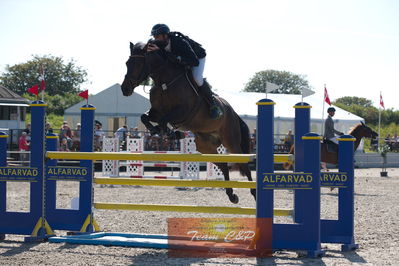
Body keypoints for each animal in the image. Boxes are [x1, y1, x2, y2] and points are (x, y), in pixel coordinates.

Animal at [120, 42, 255, 204]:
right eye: (127, 63)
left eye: (138, 63)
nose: (125, 89)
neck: (165, 82)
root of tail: (233, 113)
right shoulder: (157, 111)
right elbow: (145, 117)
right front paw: (158, 131)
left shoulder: (183, 112)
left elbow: (164, 120)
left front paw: (170, 133)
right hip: (205, 147)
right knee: (223, 165)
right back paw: (231, 195)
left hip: (231, 141)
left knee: (244, 165)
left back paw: (253, 192)